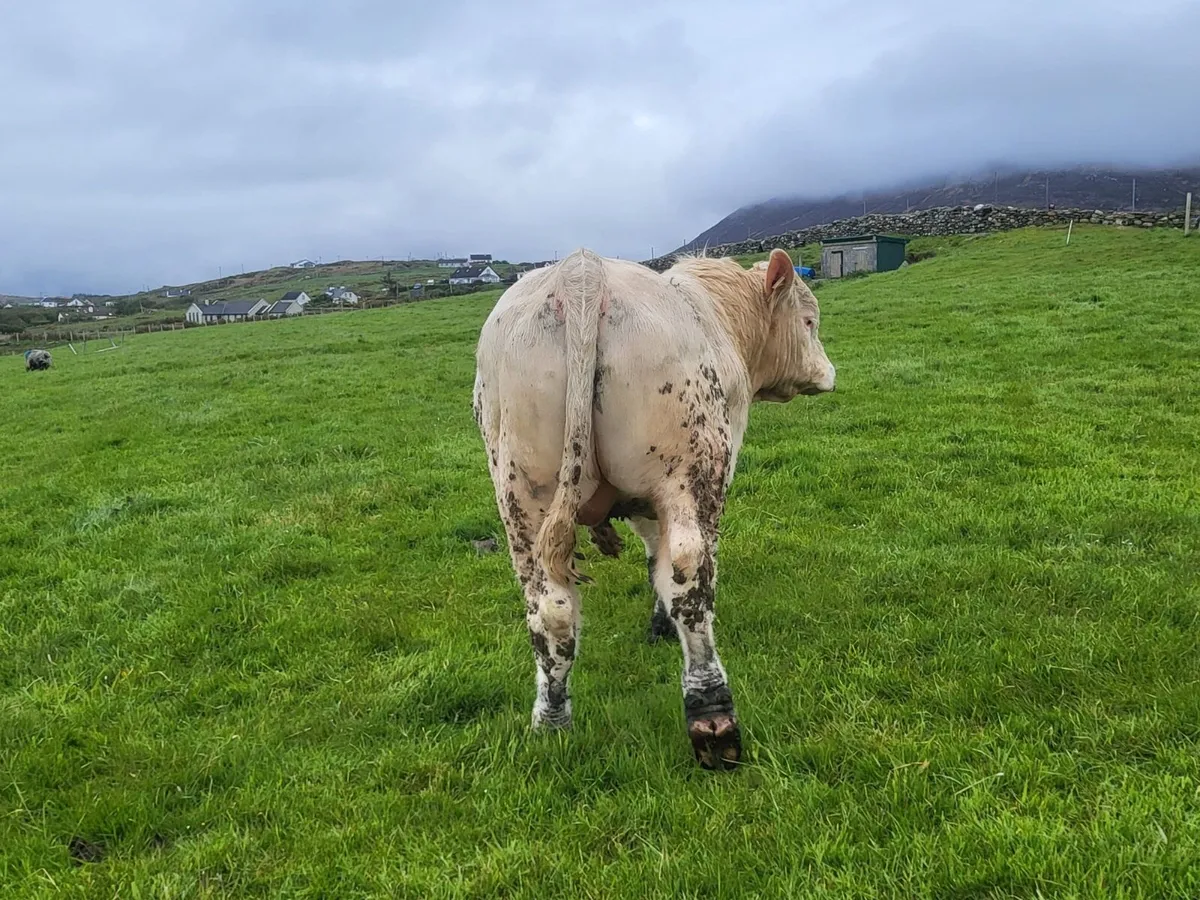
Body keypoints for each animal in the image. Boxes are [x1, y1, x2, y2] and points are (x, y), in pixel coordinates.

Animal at [472, 246, 835, 769]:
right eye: (809, 321)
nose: (828, 373)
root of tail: (581, 273)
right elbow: (671, 562)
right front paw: (662, 622)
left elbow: (649, 553)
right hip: (687, 476)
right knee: (690, 579)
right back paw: (712, 718)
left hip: (521, 499)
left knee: (550, 609)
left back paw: (552, 720)